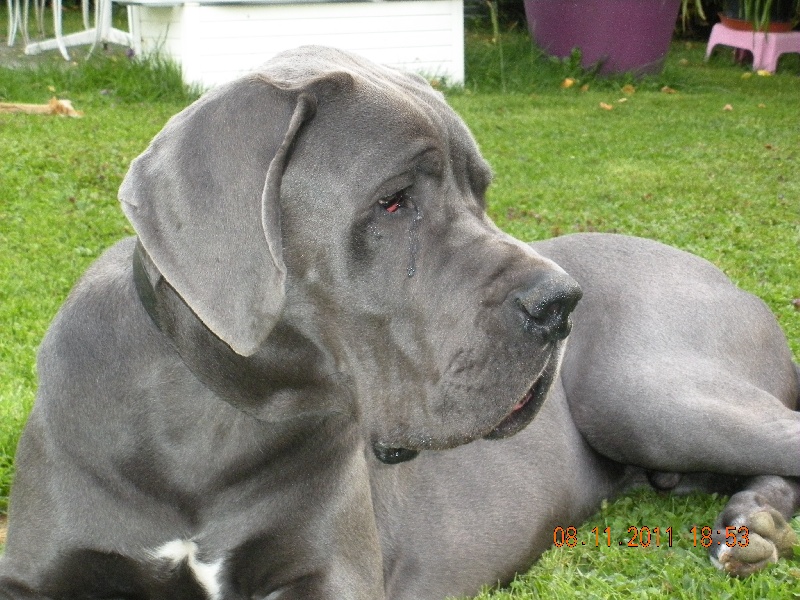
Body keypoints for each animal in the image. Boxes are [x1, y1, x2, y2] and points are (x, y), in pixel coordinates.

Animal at [0, 46, 797, 600]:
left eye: (481, 192)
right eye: (393, 201)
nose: (562, 303)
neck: (208, 424)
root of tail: (727, 278)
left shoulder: (335, 573)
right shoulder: (35, 569)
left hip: (643, 392)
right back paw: (752, 523)